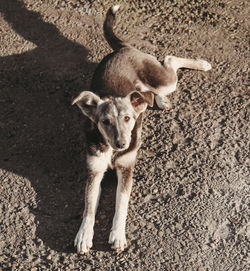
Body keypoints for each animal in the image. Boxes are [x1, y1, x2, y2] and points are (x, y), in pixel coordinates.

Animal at [72, 4, 211, 255]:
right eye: (105, 121)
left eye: (128, 119)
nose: (122, 144)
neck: (112, 152)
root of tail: (125, 48)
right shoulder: (94, 171)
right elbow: (88, 206)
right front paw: (84, 235)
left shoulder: (126, 169)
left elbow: (121, 205)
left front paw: (117, 235)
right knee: (151, 88)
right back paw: (159, 100)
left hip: (164, 79)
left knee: (170, 59)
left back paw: (202, 65)